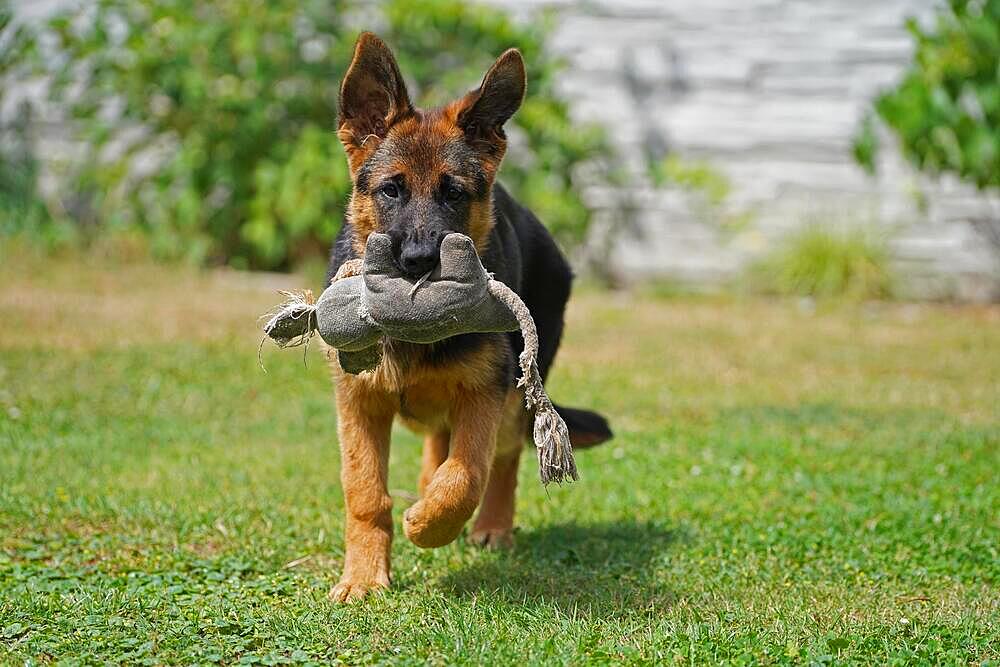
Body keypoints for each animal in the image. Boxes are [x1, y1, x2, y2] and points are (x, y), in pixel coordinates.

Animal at [326, 32, 608, 604]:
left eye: (453, 192)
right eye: (391, 189)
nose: (417, 262)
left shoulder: (483, 392)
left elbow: (467, 473)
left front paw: (429, 524)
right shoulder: (359, 401)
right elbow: (365, 491)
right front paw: (364, 577)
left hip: (516, 389)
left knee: (505, 454)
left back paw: (490, 526)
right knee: (439, 439)